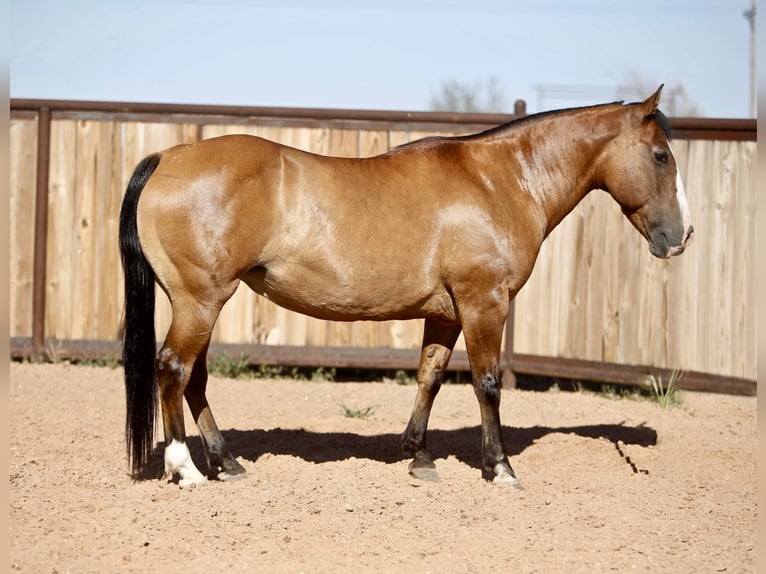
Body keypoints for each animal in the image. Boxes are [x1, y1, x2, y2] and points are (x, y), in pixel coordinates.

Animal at [120, 85, 696, 490]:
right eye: (661, 156)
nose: (683, 235)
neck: (500, 181)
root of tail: (169, 158)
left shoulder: (444, 311)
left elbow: (430, 378)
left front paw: (418, 456)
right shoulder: (483, 303)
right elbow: (488, 384)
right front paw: (501, 468)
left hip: (202, 303)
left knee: (193, 378)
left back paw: (227, 462)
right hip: (200, 300)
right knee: (173, 369)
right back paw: (186, 469)